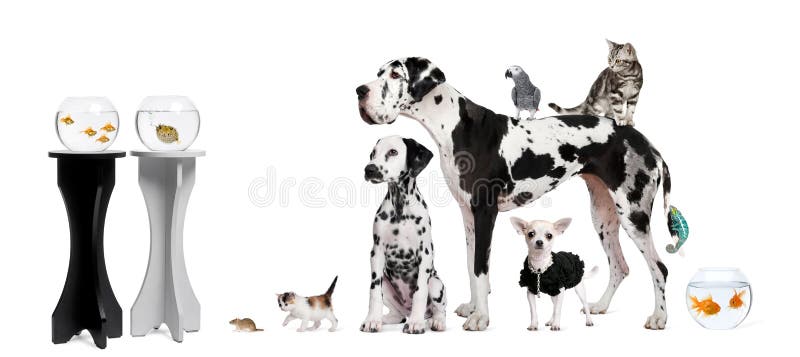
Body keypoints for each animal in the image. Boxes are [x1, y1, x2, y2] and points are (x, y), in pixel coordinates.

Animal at [360, 135, 446, 332]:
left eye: (393, 152)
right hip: (386, 284)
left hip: (436, 284)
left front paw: (416, 323)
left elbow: (420, 292)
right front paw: (372, 320)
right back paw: (384, 319)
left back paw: (434, 321)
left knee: (440, 309)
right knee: (397, 315)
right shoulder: (376, 253)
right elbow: (373, 292)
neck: (400, 209)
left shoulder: (425, 254)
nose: (369, 169)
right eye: (373, 153)